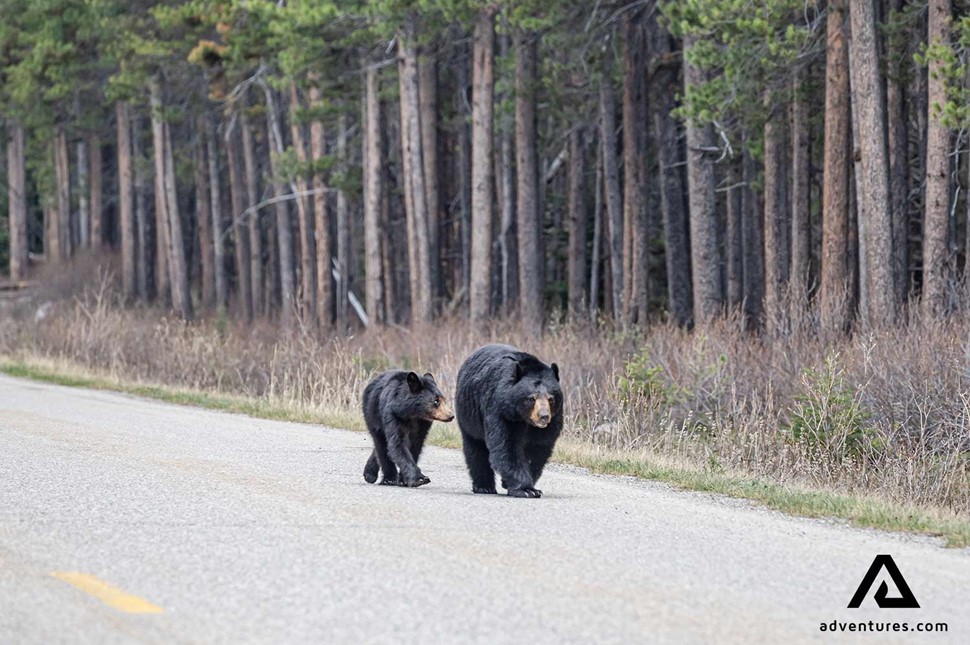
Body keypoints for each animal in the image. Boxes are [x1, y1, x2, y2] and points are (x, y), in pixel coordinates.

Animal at [458, 342, 564, 498]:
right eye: (531, 398)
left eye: (551, 398)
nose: (544, 416)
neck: (524, 419)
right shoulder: (502, 412)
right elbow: (507, 445)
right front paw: (526, 489)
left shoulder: (552, 421)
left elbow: (537, 449)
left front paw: (519, 484)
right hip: (468, 415)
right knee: (475, 447)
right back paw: (484, 486)